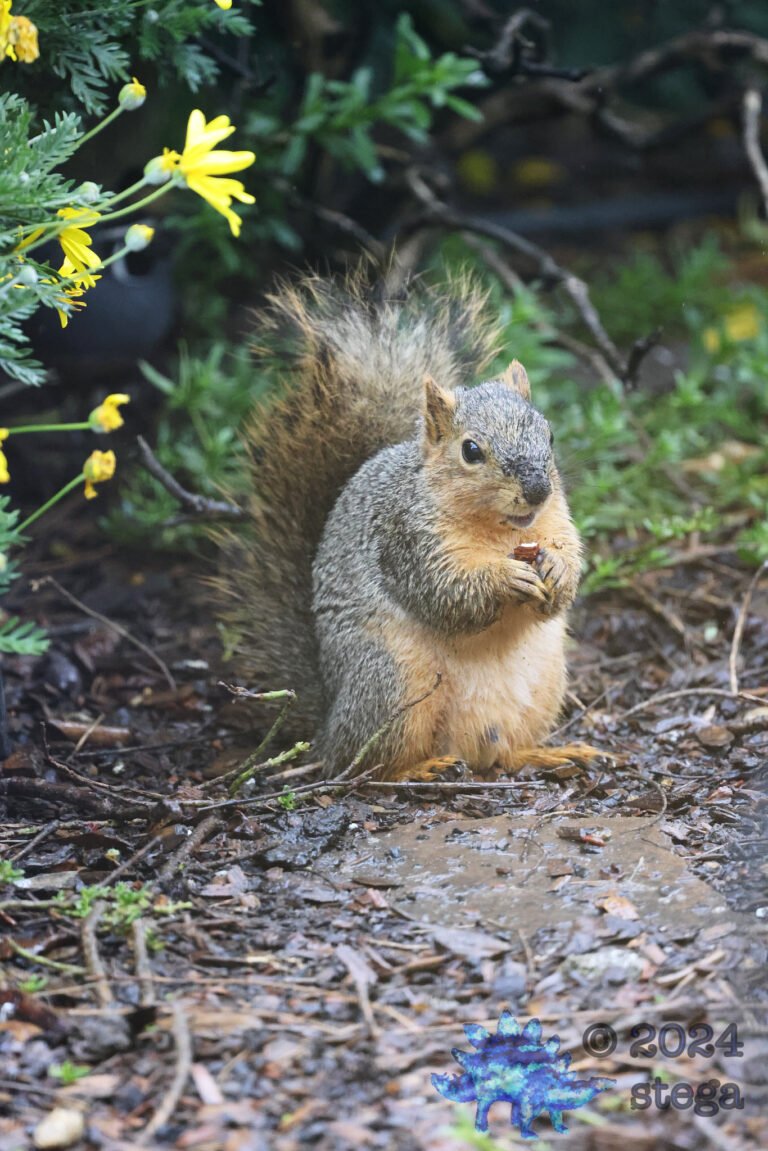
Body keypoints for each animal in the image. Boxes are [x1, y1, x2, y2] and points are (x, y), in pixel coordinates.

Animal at [216, 269, 599, 781]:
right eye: (471, 450)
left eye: (549, 435)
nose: (538, 490)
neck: (504, 530)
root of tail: (328, 722)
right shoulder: (404, 538)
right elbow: (444, 592)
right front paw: (505, 578)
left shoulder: (555, 521)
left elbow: (566, 572)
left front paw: (556, 568)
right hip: (394, 681)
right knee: (366, 763)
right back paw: (420, 769)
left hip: (542, 685)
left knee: (501, 753)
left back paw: (548, 753)